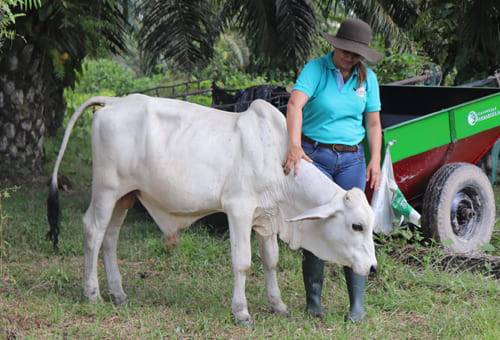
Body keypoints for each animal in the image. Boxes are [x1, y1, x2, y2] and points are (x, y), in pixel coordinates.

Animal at [47, 94, 376, 326]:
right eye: (357, 225)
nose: (373, 268)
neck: (278, 164)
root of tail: (113, 101)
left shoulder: (266, 217)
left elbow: (271, 261)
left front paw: (277, 305)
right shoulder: (239, 210)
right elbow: (243, 262)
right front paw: (241, 312)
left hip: (125, 197)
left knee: (110, 238)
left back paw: (118, 293)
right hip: (106, 190)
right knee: (93, 230)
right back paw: (92, 294)